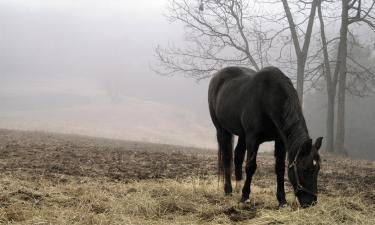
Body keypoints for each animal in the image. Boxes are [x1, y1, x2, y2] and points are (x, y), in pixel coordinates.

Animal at [209, 65, 324, 207]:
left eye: (318, 168)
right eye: (305, 169)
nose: (311, 202)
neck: (268, 98)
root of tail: (216, 77)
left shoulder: (280, 141)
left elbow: (279, 168)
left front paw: (282, 201)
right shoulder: (252, 139)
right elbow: (250, 166)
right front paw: (245, 197)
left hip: (242, 134)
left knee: (238, 156)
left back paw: (237, 188)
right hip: (222, 130)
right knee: (227, 157)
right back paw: (228, 190)